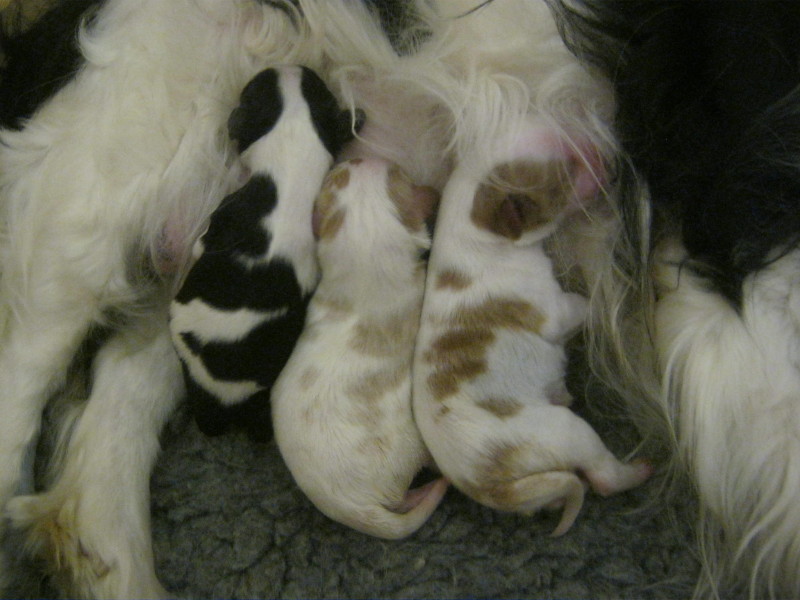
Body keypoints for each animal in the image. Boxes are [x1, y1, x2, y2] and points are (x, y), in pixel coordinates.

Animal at [169, 65, 360, 441]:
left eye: (252, 92)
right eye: (319, 90)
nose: (292, 66)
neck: (290, 168)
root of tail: (224, 401)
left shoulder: (218, 221)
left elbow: (201, 242)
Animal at [271, 157, 447, 539]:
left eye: (334, 180)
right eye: (399, 172)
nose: (360, 158)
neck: (368, 270)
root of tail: (358, 510)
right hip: (411, 446)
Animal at [412, 115, 650, 536]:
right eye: (566, 170)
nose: (602, 151)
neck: (477, 231)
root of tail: (493, 489)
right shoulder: (552, 308)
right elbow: (579, 305)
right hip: (567, 432)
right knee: (603, 476)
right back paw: (637, 471)